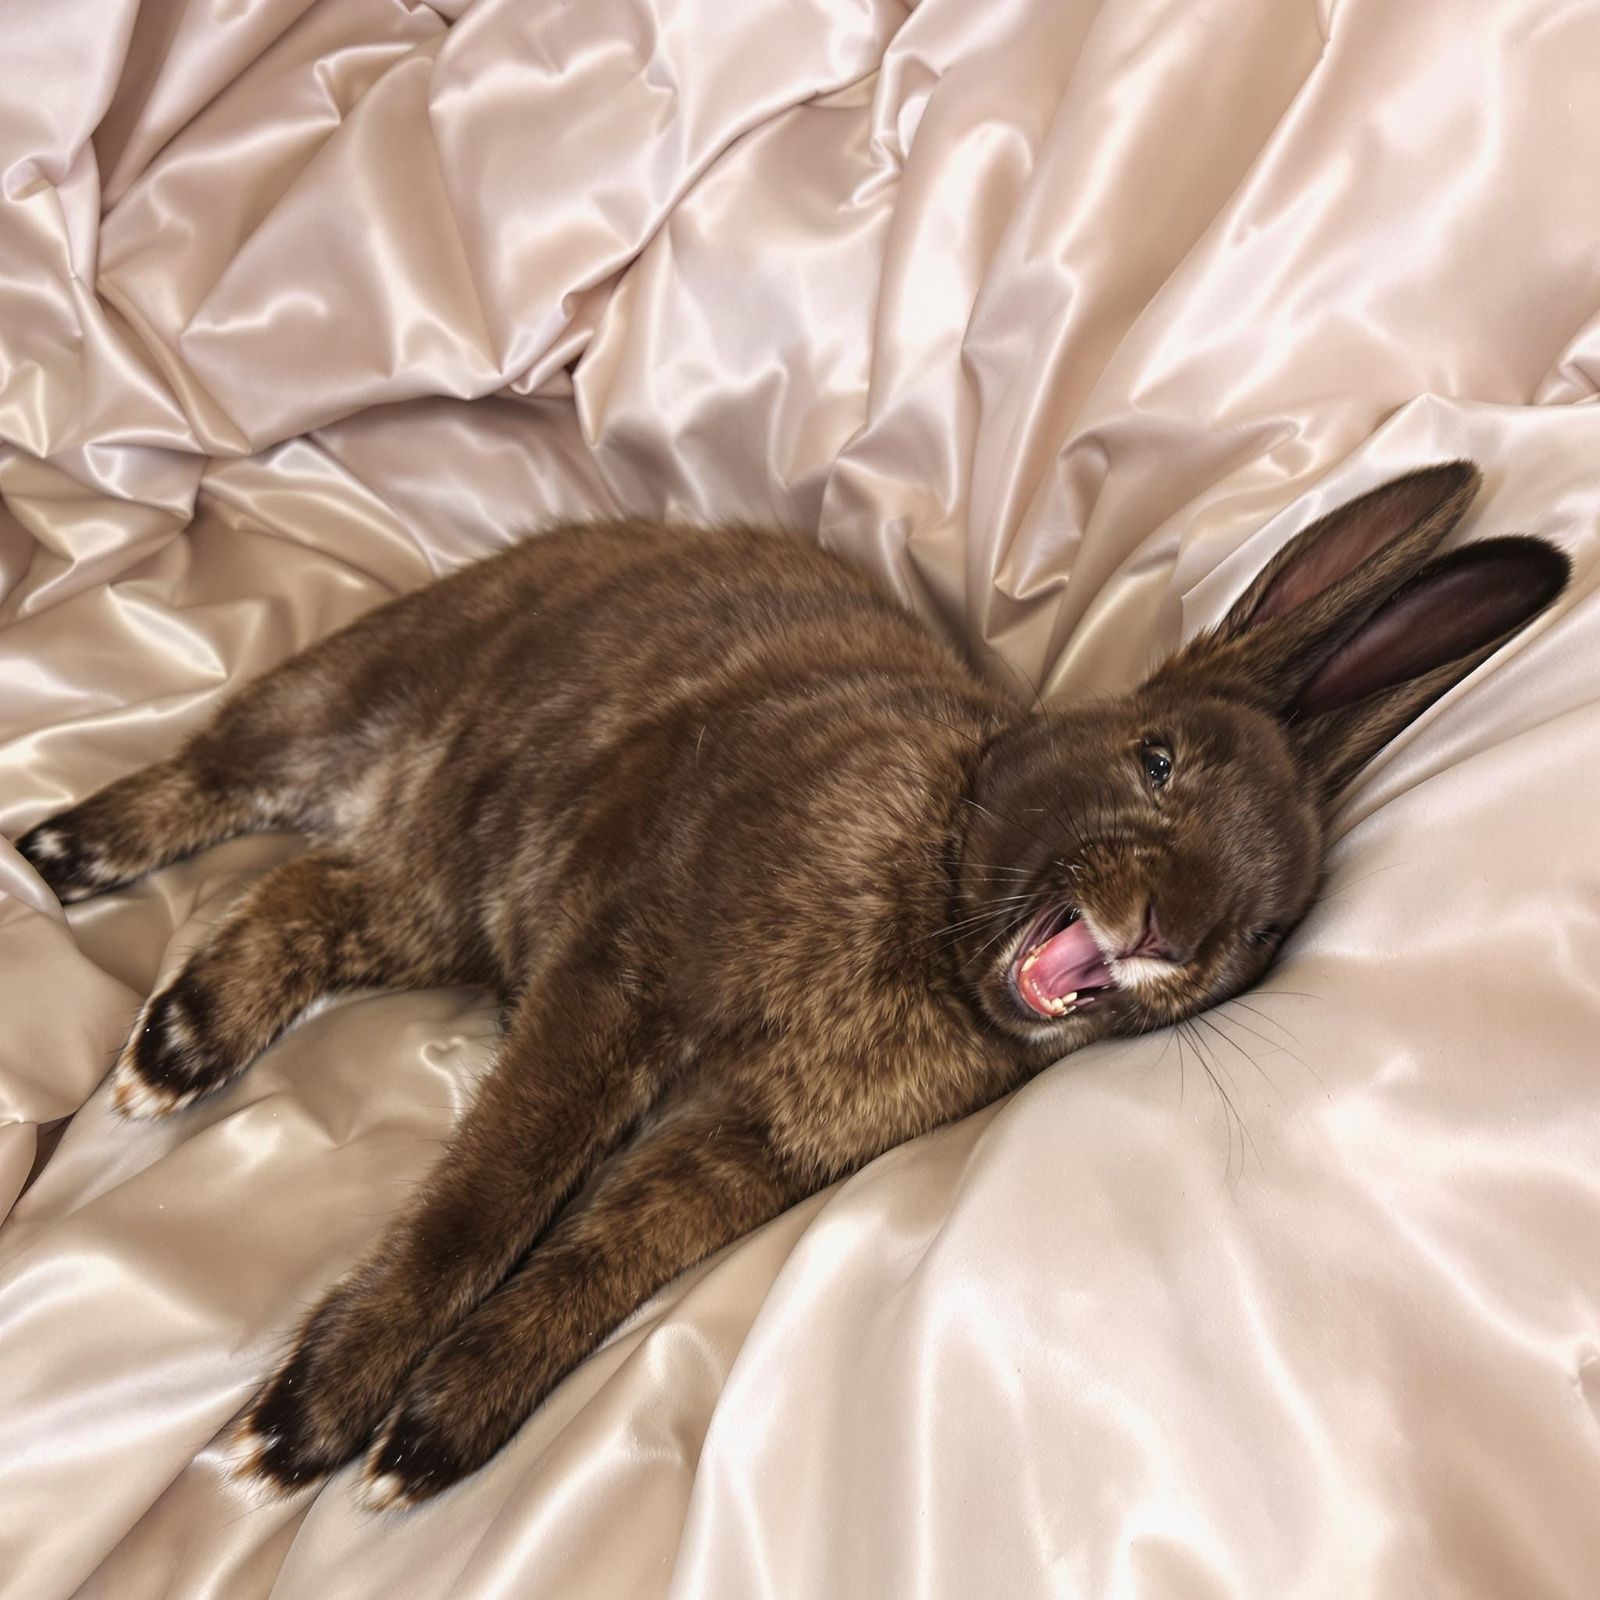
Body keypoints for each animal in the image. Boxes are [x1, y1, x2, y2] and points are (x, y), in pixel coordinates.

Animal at [11, 461, 1568, 1509]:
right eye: (1156, 757)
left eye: (1264, 930)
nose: (1163, 933)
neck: (936, 902)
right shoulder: (615, 978)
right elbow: (485, 1202)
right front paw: (307, 1426)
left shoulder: (753, 1148)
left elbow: (598, 1260)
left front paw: (432, 1437)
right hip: (360, 697)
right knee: (221, 775)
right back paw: (72, 865)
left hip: (439, 905)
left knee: (308, 898)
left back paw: (182, 1037)